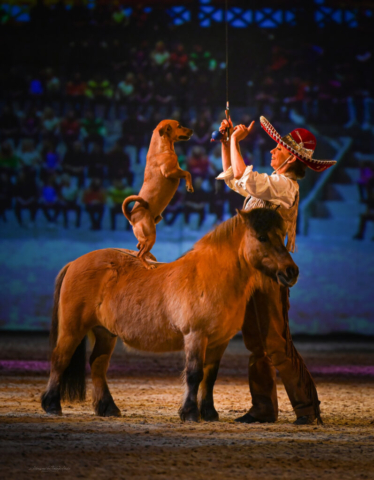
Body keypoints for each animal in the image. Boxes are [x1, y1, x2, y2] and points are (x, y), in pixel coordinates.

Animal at [41, 208, 298, 422]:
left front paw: (209, 413)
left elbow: (210, 376)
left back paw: (108, 408)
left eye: (282, 236)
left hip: (105, 333)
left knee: (97, 364)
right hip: (73, 328)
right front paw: (190, 413)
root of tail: (74, 263)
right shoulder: (196, 335)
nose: (291, 272)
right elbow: (194, 374)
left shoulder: (219, 342)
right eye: (262, 237)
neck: (212, 277)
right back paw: (52, 405)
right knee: (60, 358)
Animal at [122, 118, 194, 268]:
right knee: (139, 253)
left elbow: (186, 172)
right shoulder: (170, 172)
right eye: (179, 126)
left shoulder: (176, 170)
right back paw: (148, 265)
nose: (192, 130)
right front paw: (189, 186)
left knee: (139, 246)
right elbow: (187, 173)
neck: (161, 148)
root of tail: (131, 216)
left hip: (148, 236)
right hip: (150, 236)